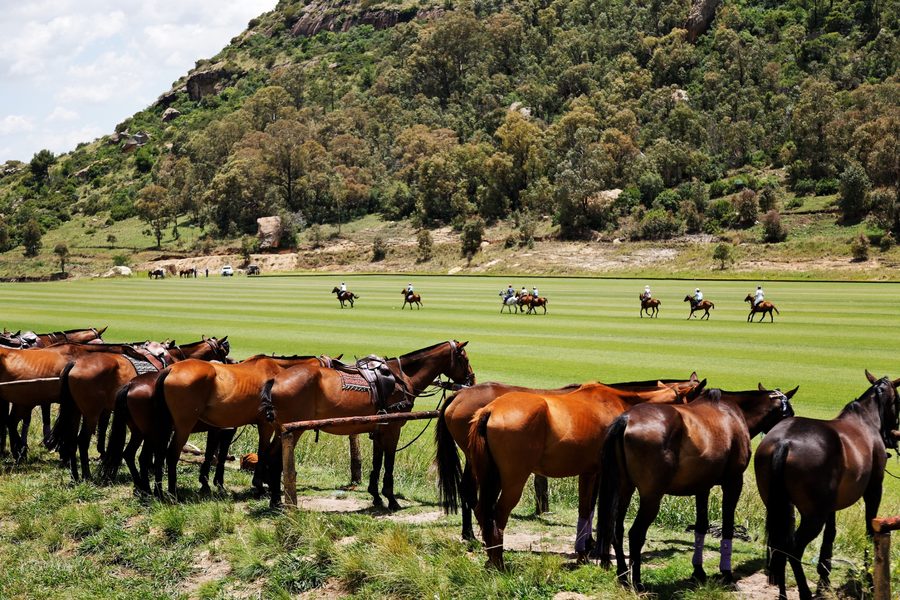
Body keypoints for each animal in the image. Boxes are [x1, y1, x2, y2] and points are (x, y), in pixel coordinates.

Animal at [53, 337, 231, 482]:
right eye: (223, 351)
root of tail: (75, 363)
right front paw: (154, 467)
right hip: (91, 414)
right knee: (82, 440)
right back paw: (86, 475)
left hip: (75, 411)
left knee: (71, 439)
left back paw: (75, 476)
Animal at [260, 341, 475, 509]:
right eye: (464, 359)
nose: (472, 381)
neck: (402, 378)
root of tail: (275, 379)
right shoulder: (392, 429)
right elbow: (388, 463)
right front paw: (390, 498)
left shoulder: (379, 429)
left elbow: (377, 462)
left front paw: (376, 496)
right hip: (292, 430)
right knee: (277, 459)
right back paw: (277, 500)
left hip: (281, 430)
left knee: (271, 456)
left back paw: (275, 500)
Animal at [596, 384, 797, 590]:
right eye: (789, 413)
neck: (731, 413)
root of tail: (627, 419)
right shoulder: (733, 482)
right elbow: (727, 527)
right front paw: (726, 574)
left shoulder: (702, 486)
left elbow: (701, 526)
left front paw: (698, 572)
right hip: (651, 497)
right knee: (636, 534)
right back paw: (637, 582)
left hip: (624, 490)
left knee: (617, 529)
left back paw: (622, 575)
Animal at [754, 371, 900, 600]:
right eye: (898, 401)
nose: (894, 435)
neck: (864, 420)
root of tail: (784, 443)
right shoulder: (874, 490)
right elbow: (870, 531)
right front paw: (869, 579)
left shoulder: (831, 504)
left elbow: (830, 535)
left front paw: (824, 578)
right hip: (813, 516)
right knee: (794, 548)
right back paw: (804, 592)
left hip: (779, 506)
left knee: (781, 546)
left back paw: (783, 593)